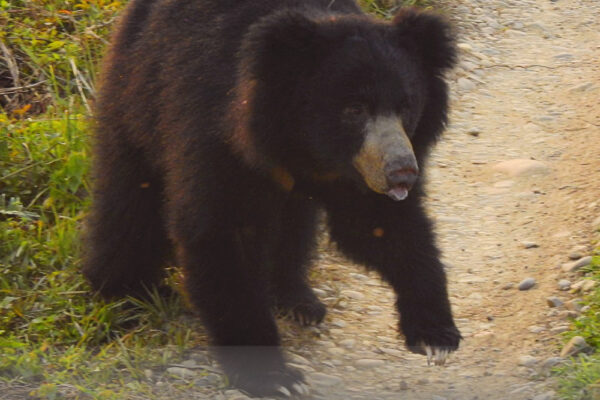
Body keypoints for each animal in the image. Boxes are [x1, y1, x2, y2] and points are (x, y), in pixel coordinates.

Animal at [83, 0, 460, 396]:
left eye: (407, 106)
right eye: (355, 108)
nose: (402, 172)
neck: (307, 149)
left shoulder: (358, 171)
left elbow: (380, 227)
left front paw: (436, 336)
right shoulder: (218, 136)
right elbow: (221, 232)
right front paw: (272, 376)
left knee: (293, 225)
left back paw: (298, 301)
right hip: (137, 87)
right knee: (130, 195)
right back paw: (126, 290)